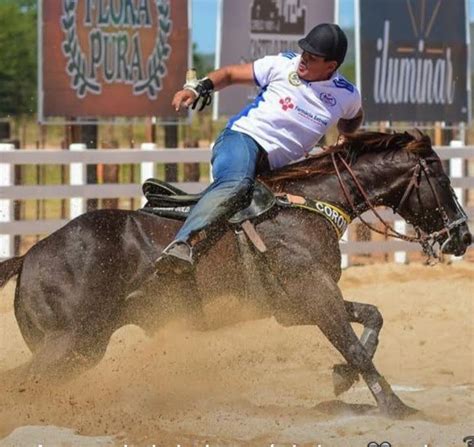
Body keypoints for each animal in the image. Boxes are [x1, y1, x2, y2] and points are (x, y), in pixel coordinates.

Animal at [0, 130, 470, 420]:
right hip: (65, 345)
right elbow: (355, 347)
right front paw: (395, 406)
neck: (305, 206)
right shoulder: (315, 294)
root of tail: (31, 255)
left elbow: (372, 318)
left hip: (83, 349)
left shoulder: (297, 306)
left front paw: (341, 379)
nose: (462, 236)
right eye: (439, 176)